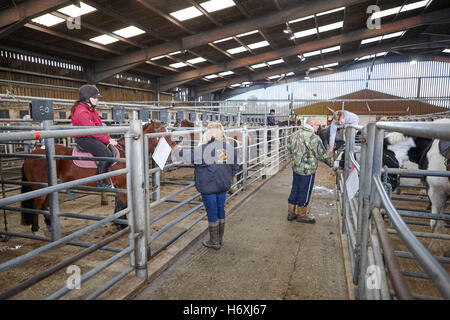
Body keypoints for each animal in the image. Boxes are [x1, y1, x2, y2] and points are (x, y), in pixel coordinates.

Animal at [21, 120, 176, 232]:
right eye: (163, 133)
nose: (173, 147)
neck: (127, 153)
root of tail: (30, 156)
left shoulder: (119, 186)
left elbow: (119, 204)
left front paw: (118, 222)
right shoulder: (123, 185)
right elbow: (124, 204)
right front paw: (123, 224)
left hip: (49, 186)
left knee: (44, 204)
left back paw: (48, 223)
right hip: (40, 187)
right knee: (37, 204)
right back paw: (35, 227)